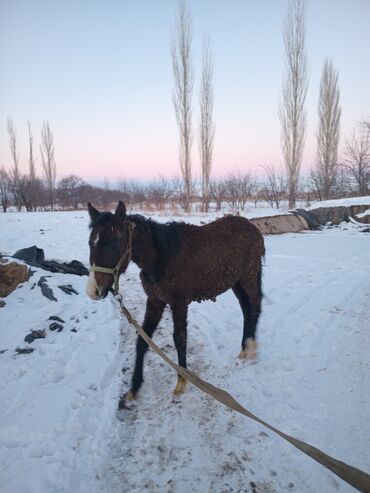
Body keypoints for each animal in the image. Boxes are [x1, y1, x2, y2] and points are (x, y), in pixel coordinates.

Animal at [86, 200, 264, 404]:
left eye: (114, 244)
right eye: (90, 243)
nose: (93, 291)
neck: (161, 258)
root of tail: (253, 228)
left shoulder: (178, 303)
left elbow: (179, 339)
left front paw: (181, 382)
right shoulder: (155, 301)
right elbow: (143, 340)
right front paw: (134, 387)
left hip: (248, 277)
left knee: (255, 306)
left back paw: (251, 348)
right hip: (236, 282)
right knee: (246, 309)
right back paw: (244, 348)